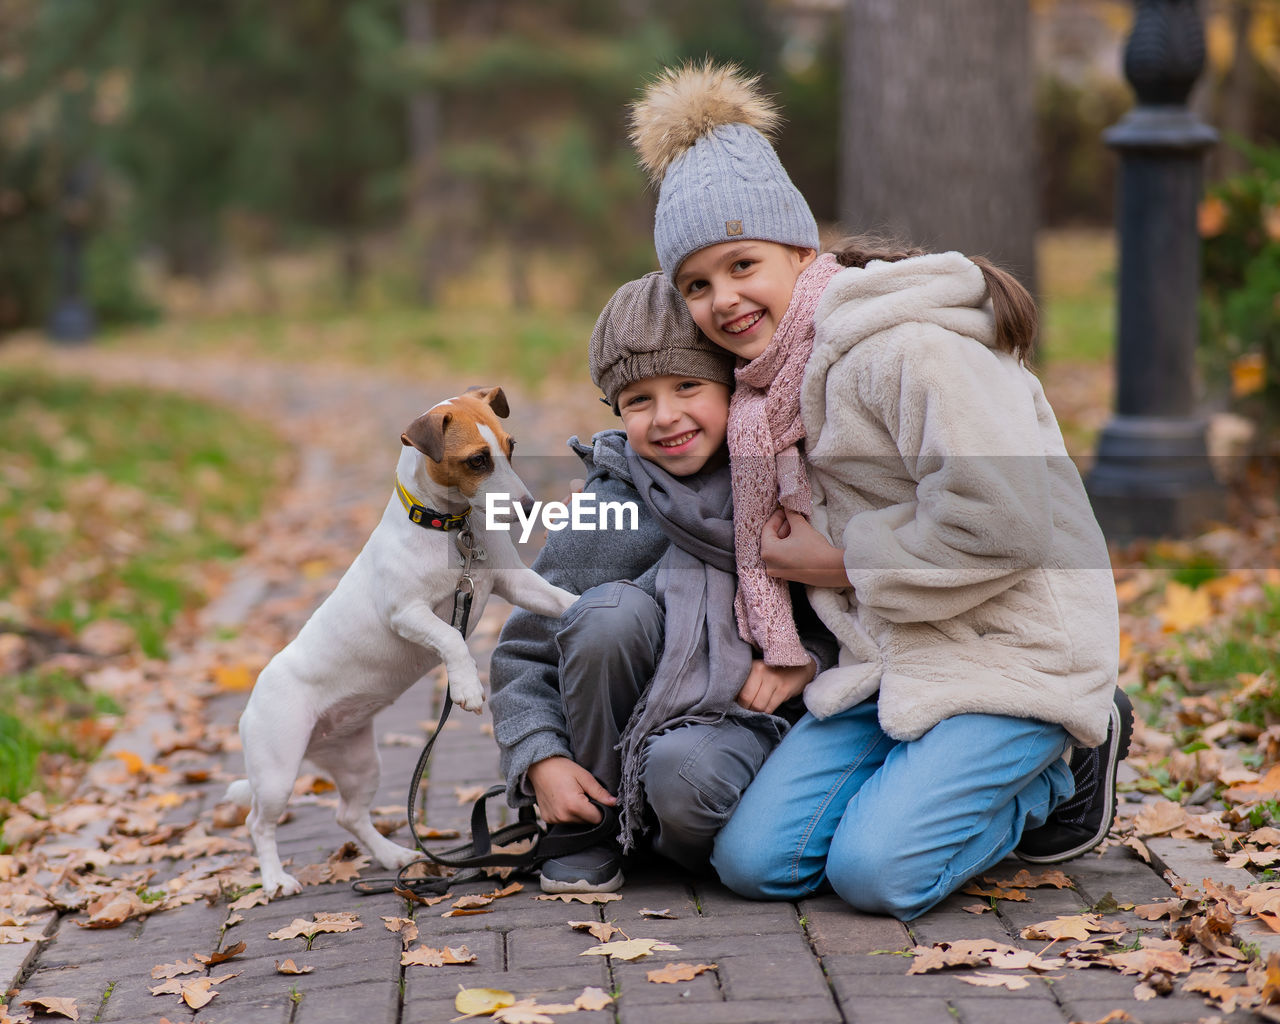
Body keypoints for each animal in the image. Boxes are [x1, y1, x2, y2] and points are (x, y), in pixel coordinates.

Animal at [225, 386, 576, 896]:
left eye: (511, 447)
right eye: (477, 460)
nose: (530, 507)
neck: (451, 530)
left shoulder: (518, 584)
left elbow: (562, 599)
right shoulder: (406, 614)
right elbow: (451, 637)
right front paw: (466, 687)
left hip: (358, 763)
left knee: (349, 815)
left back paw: (393, 856)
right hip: (277, 772)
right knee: (258, 823)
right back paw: (275, 879)